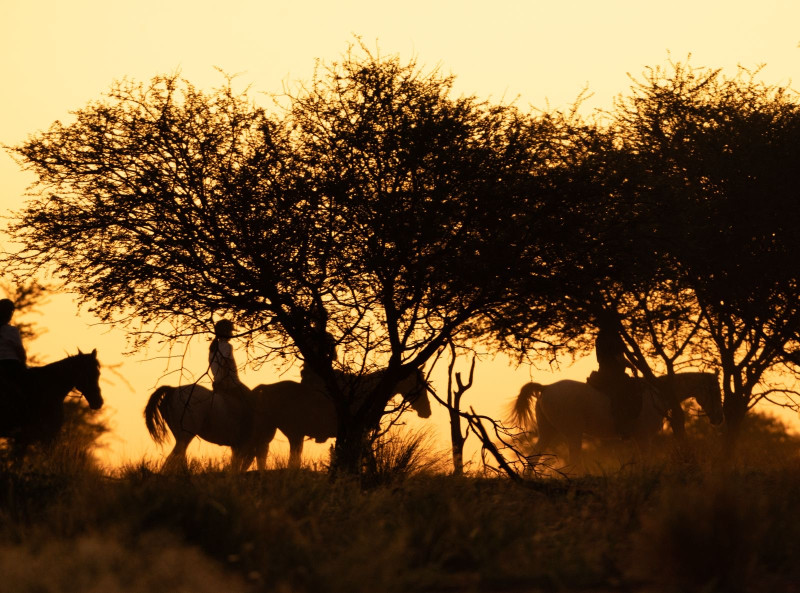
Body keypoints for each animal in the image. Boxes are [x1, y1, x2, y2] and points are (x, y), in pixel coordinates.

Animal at [253, 368, 434, 470]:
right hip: (294, 434)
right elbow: (365, 458)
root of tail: (266, 388)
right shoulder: (360, 432)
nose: (427, 411)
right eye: (418, 383)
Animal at [512, 372, 724, 470]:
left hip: (547, 432)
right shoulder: (644, 438)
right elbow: (646, 460)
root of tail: (546, 388)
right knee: (572, 460)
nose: (718, 418)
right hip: (572, 434)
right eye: (715, 390)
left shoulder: (640, 439)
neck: (657, 395)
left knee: (533, 457)